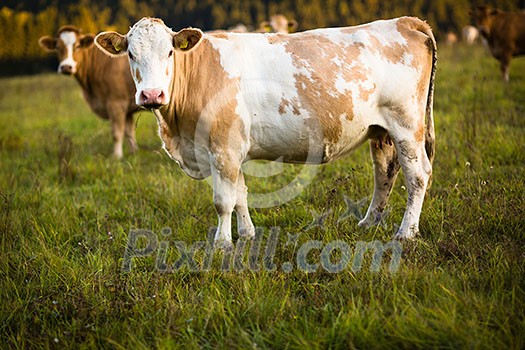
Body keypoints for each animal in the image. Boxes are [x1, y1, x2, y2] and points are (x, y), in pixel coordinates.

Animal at [39, 26, 140, 159]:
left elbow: (117, 133)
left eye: (77, 46)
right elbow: (129, 132)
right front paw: (134, 152)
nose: (66, 67)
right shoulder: (127, 108)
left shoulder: (116, 103)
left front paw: (117, 156)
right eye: (58, 47)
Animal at [96, 16, 436, 246]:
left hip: (406, 125)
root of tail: (405, 21)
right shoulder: (232, 148)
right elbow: (240, 194)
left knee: (417, 175)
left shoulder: (223, 146)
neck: (180, 132)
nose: (152, 95)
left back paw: (405, 233)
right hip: (381, 131)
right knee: (385, 173)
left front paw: (222, 244)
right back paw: (369, 223)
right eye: (130, 54)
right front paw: (246, 235)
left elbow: (223, 200)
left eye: (169, 52)